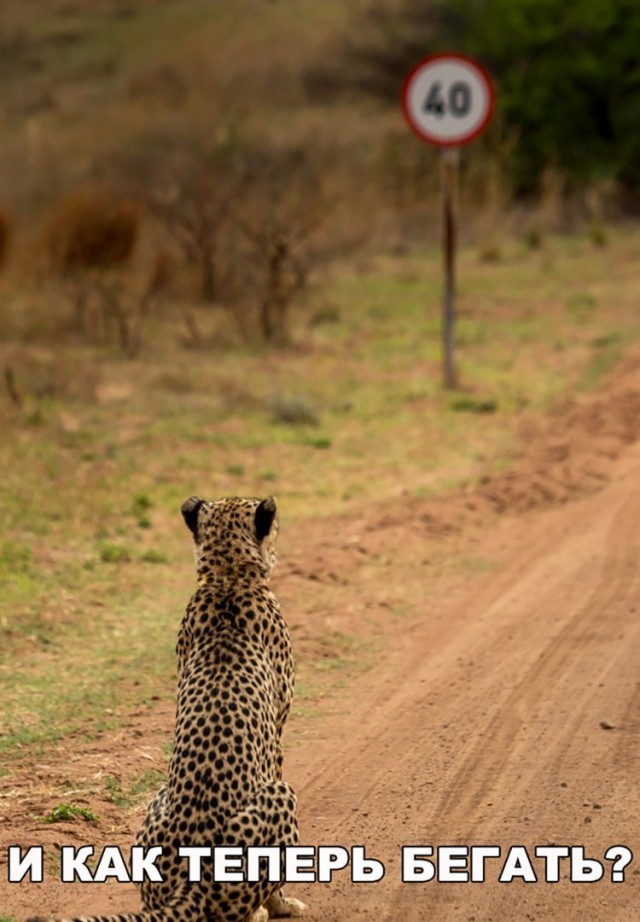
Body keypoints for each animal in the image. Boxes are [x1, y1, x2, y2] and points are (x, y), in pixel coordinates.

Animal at [31, 496, 306, 920]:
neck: (226, 579)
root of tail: (186, 886)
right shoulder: (276, 733)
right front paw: (283, 903)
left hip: (157, 802)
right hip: (280, 795)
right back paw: (260, 910)